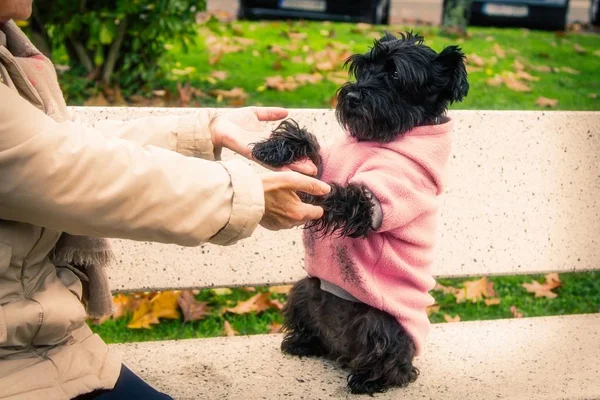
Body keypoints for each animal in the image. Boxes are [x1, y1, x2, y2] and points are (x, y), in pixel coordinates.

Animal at [251, 32, 466, 396]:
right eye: (363, 67)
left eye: (395, 74)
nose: (351, 95)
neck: (379, 138)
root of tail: (342, 351)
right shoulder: (329, 163)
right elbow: (312, 149)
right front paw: (277, 147)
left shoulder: (376, 201)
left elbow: (337, 193)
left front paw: (304, 194)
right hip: (305, 290)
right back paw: (305, 343)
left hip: (383, 325)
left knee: (397, 366)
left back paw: (368, 379)